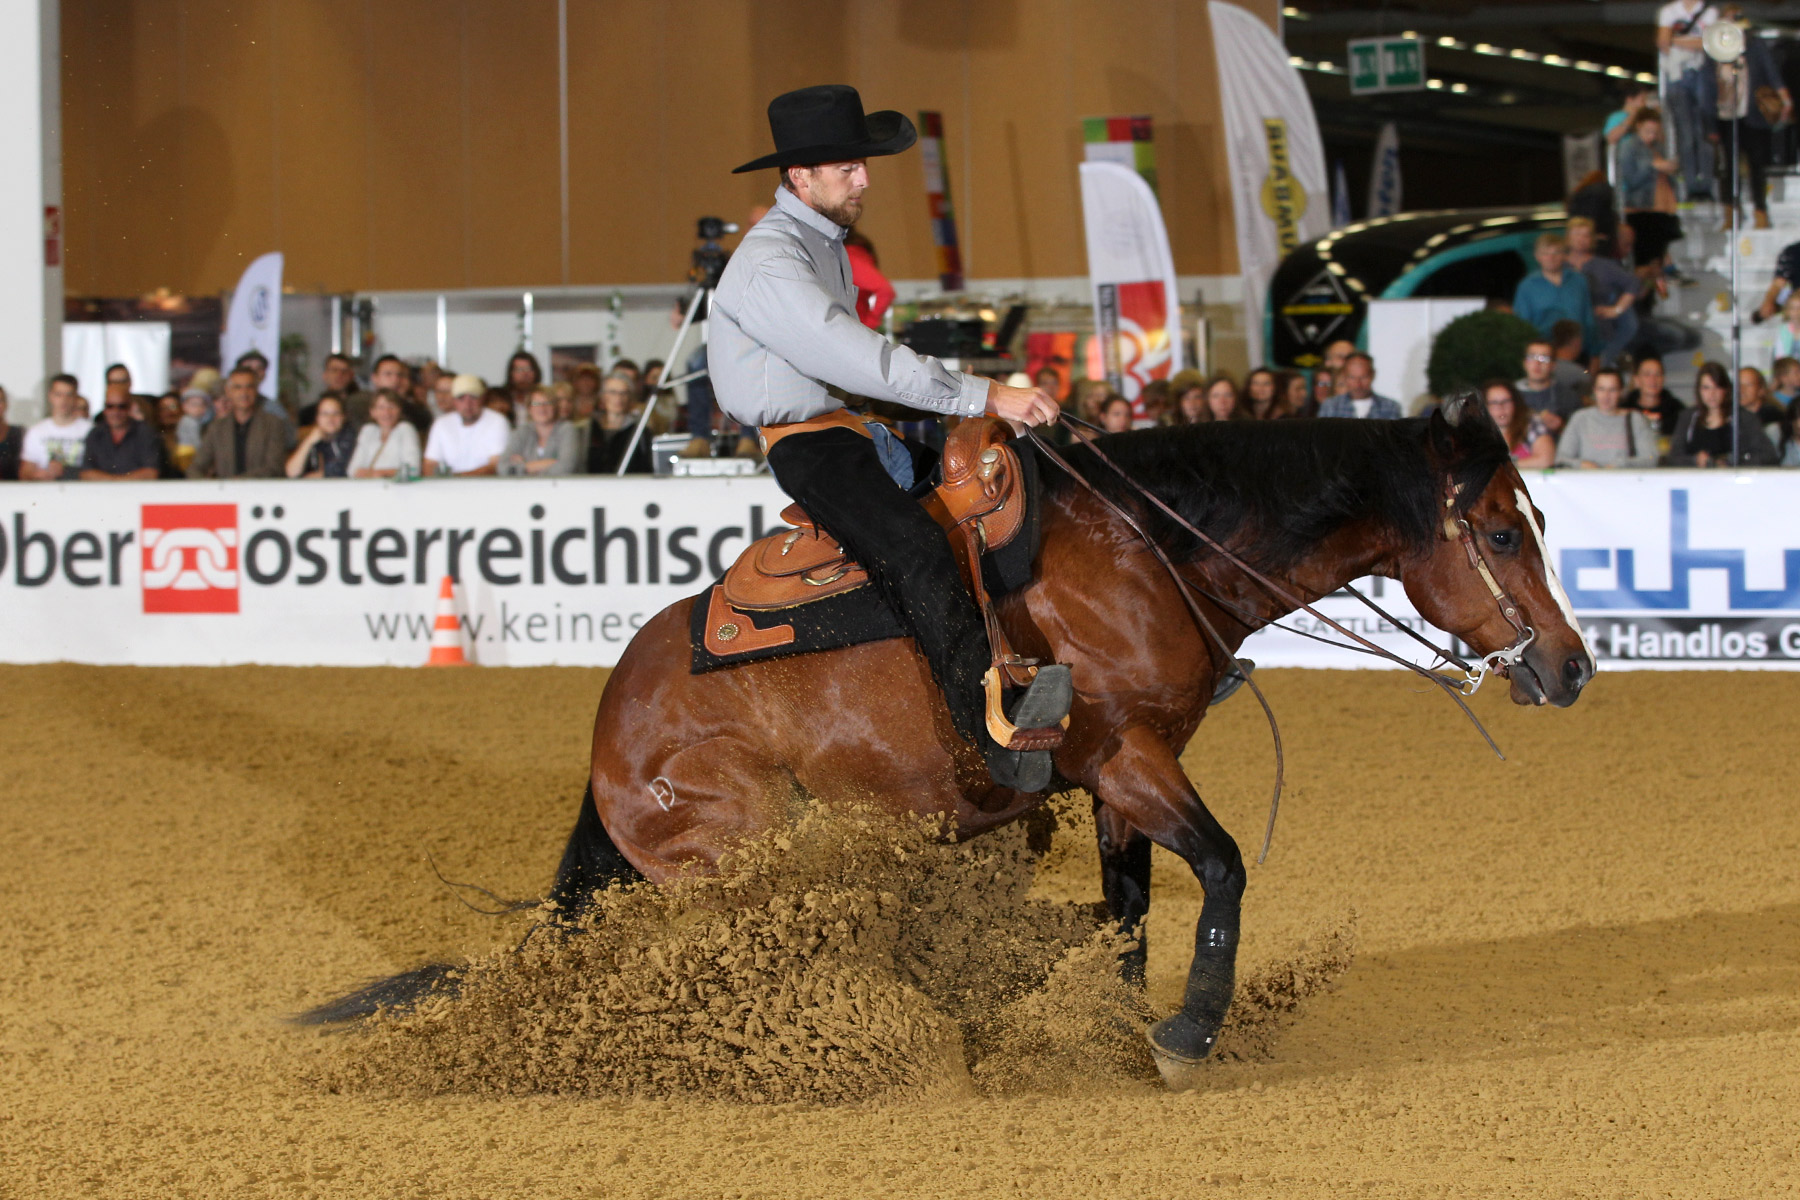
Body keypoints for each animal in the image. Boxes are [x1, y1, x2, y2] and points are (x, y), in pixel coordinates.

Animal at [309, 395, 1591, 1086]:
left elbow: (1129, 914)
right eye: (1496, 530)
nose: (1573, 665)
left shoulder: (1119, 782)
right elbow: (1223, 868)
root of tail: (612, 726)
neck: (1144, 550)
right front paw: (1186, 1031)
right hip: (740, 853)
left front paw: (1102, 1033)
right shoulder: (1126, 757)